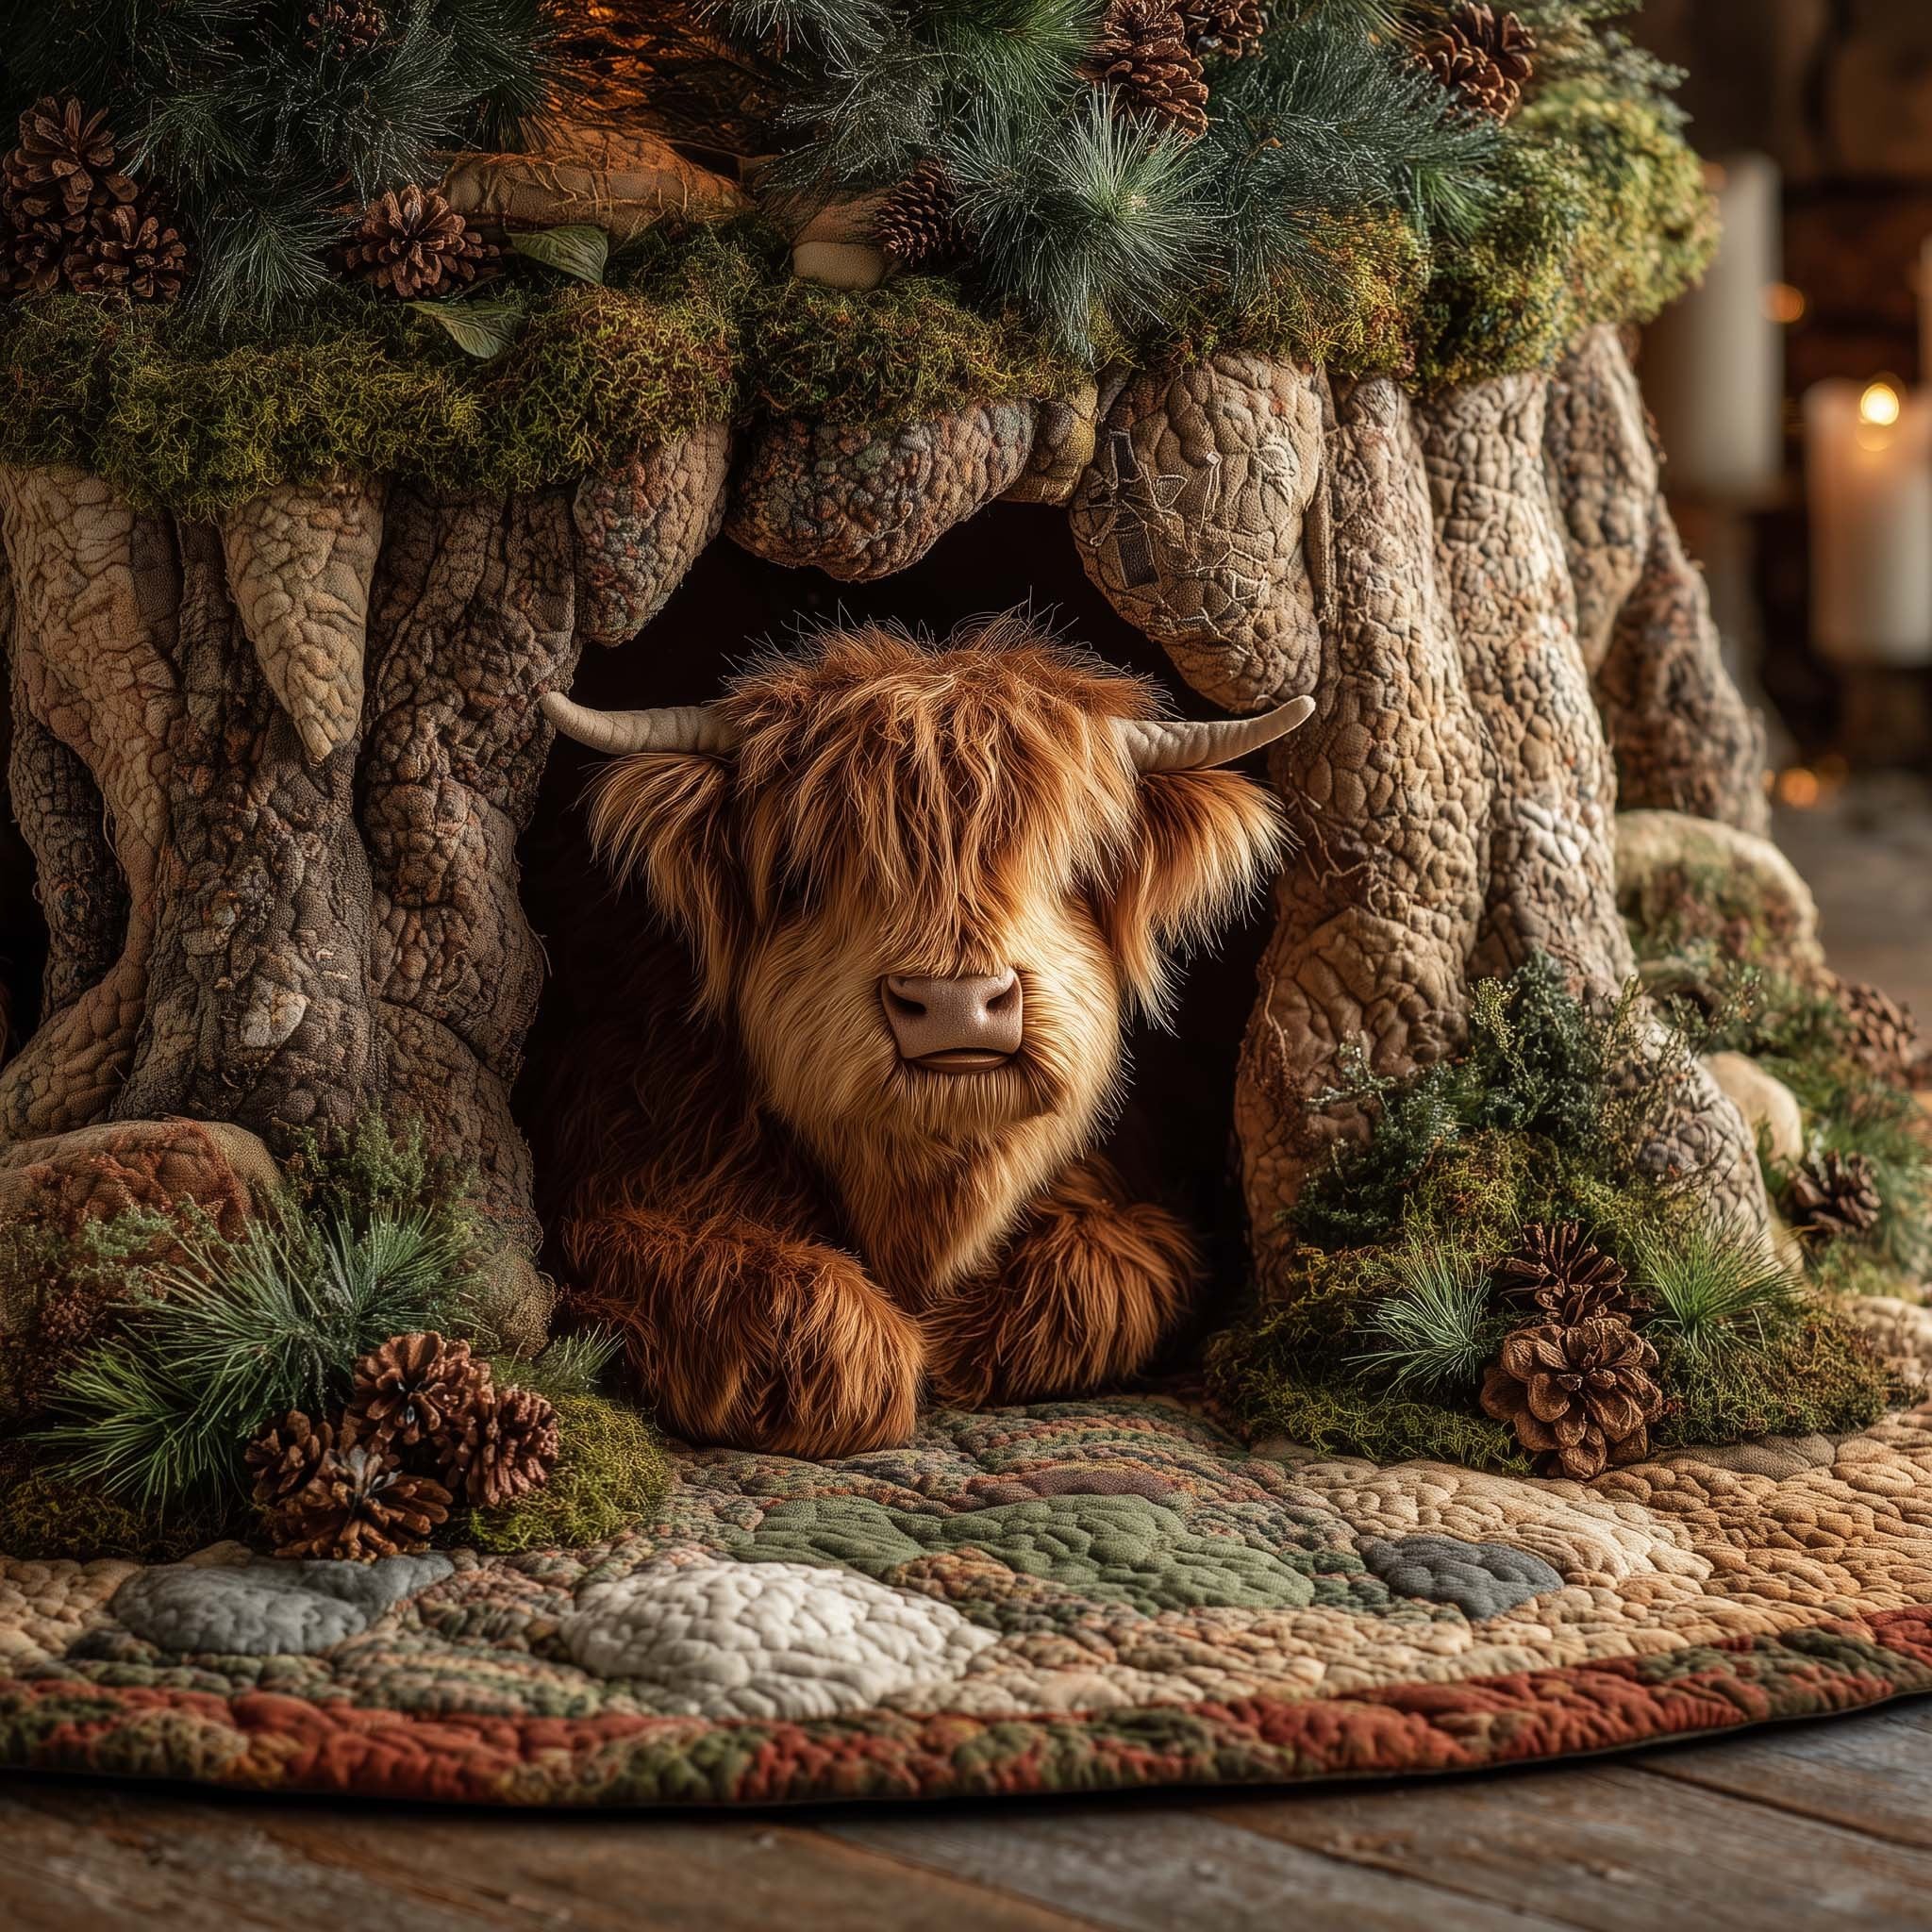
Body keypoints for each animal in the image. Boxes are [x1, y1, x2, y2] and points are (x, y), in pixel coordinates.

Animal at [541, 615, 1310, 1457]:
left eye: (1073, 860)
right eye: (804, 874)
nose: (956, 1002)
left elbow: (1112, 1268)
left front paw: (963, 1338)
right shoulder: (617, 1193)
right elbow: (751, 1288)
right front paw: (868, 1365)